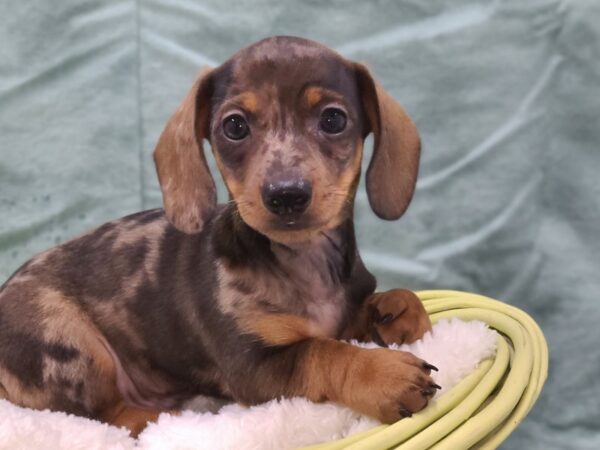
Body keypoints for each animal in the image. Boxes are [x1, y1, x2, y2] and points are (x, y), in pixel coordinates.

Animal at [0, 36, 436, 436]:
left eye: (333, 120)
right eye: (234, 126)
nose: (286, 195)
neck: (302, 261)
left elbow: (392, 305)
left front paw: (394, 313)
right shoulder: (253, 367)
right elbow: (321, 351)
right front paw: (380, 373)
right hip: (72, 346)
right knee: (112, 416)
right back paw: (166, 421)